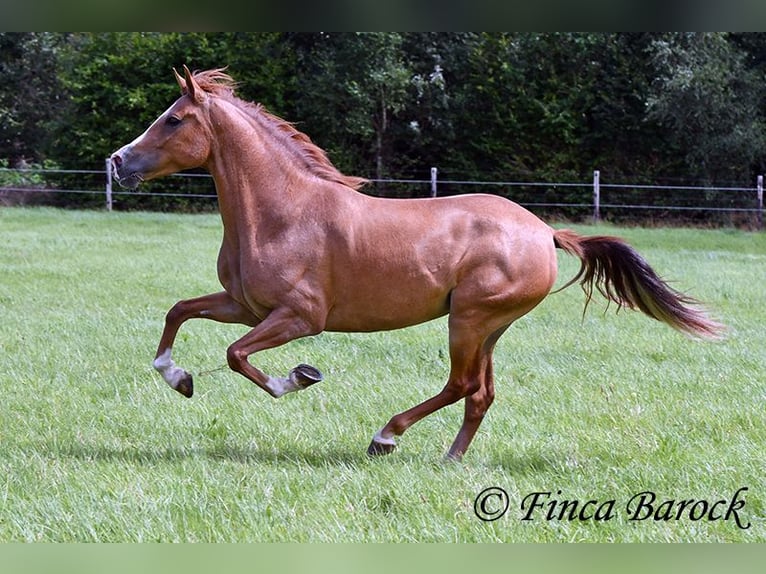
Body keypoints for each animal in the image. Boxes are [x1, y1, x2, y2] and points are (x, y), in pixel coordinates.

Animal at [109, 67, 728, 464]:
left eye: (174, 119)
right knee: (480, 394)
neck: (284, 211)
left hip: (470, 320)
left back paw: (386, 437)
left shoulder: (299, 317)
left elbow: (237, 357)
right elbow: (178, 312)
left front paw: (298, 378)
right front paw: (178, 378)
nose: (117, 163)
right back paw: (449, 458)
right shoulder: (244, 305)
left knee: (461, 384)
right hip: (489, 327)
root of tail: (544, 231)